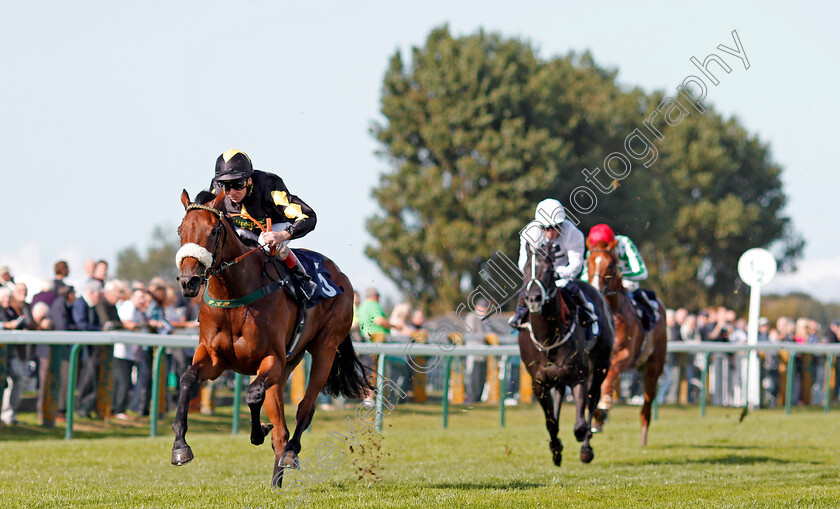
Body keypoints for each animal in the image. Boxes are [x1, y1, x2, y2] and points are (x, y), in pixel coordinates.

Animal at [170, 190, 368, 484]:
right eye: (181, 230)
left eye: (214, 230)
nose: (188, 281)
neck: (235, 295)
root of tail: (339, 273)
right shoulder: (214, 358)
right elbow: (187, 379)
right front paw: (180, 447)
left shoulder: (271, 358)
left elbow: (253, 395)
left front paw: (257, 432)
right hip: (289, 364)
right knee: (281, 428)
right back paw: (276, 479)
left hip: (325, 349)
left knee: (305, 407)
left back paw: (290, 452)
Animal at [516, 241, 612, 464]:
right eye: (526, 268)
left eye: (549, 270)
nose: (533, 298)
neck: (548, 338)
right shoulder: (539, 383)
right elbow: (551, 422)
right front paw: (556, 449)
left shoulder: (579, 377)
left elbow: (580, 424)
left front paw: (582, 443)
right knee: (559, 398)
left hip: (601, 365)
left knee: (593, 400)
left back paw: (586, 447)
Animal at [588, 238, 668, 444]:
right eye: (588, 262)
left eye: (610, 265)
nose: (595, 289)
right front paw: (597, 415)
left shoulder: (623, 354)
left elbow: (610, 377)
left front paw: (603, 407)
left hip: (653, 366)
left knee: (647, 402)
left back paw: (644, 435)